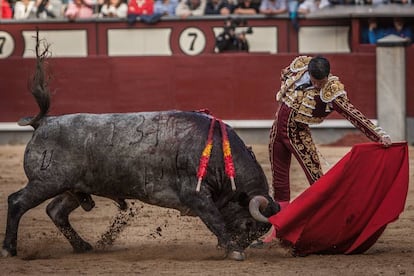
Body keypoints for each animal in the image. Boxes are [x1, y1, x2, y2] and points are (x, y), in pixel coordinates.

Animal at [1, 37, 280, 260]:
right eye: (248, 226)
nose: (245, 244)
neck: (220, 155)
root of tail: (44, 122)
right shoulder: (196, 195)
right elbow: (215, 219)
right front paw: (234, 250)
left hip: (74, 187)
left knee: (56, 211)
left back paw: (83, 246)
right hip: (45, 182)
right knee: (17, 202)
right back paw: (9, 249)